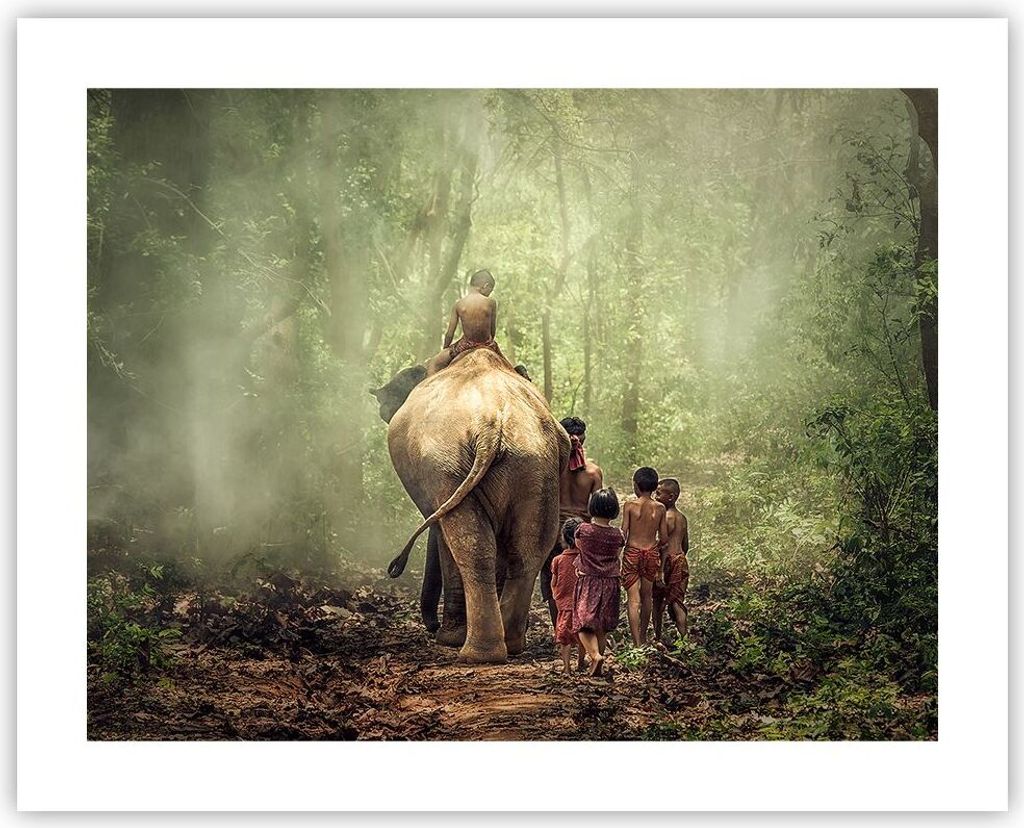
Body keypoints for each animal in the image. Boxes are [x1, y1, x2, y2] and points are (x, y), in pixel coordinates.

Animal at [370, 349, 570, 663]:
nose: (431, 625)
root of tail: (491, 424)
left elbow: (443, 537)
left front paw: (446, 637)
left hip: (447, 467)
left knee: (470, 545)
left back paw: (474, 651)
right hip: (535, 464)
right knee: (528, 550)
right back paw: (510, 643)